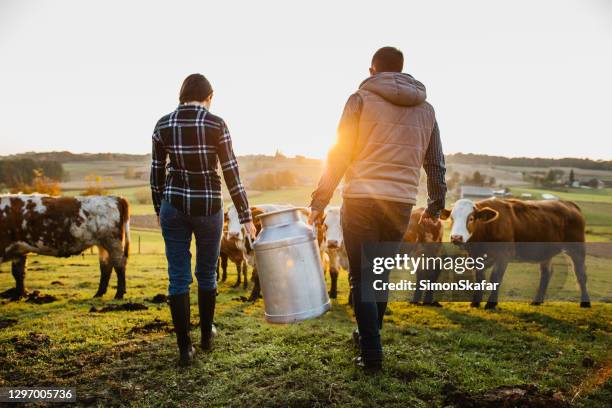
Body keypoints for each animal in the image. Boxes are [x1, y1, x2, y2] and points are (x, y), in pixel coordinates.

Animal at [0, 194, 130, 300]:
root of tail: (115, 197)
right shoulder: (19, 251)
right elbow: (18, 273)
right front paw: (19, 295)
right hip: (103, 245)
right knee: (106, 266)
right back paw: (99, 294)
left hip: (113, 242)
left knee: (119, 265)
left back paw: (119, 294)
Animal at [442, 198, 592, 310]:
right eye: (452, 218)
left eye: (471, 218)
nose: (456, 237)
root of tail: (568, 203)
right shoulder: (475, 257)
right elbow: (479, 279)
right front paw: (475, 302)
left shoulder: (504, 255)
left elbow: (495, 278)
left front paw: (491, 304)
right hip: (545, 251)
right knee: (546, 274)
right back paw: (537, 301)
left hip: (577, 248)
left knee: (580, 274)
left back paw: (585, 303)